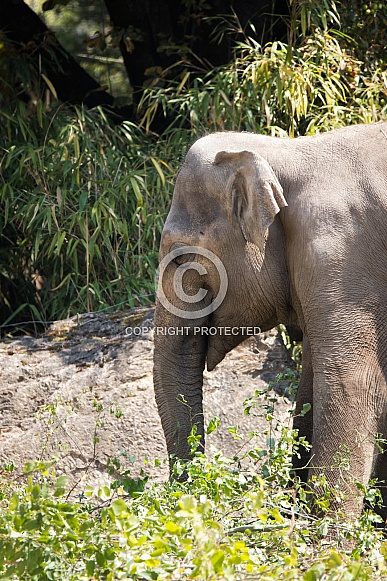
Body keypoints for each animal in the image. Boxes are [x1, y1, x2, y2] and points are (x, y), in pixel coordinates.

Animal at [153, 123, 387, 516]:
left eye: (182, 257)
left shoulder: (343, 253)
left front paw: (328, 529)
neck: (289, 152)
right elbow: (311, 383)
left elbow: (352, 383)